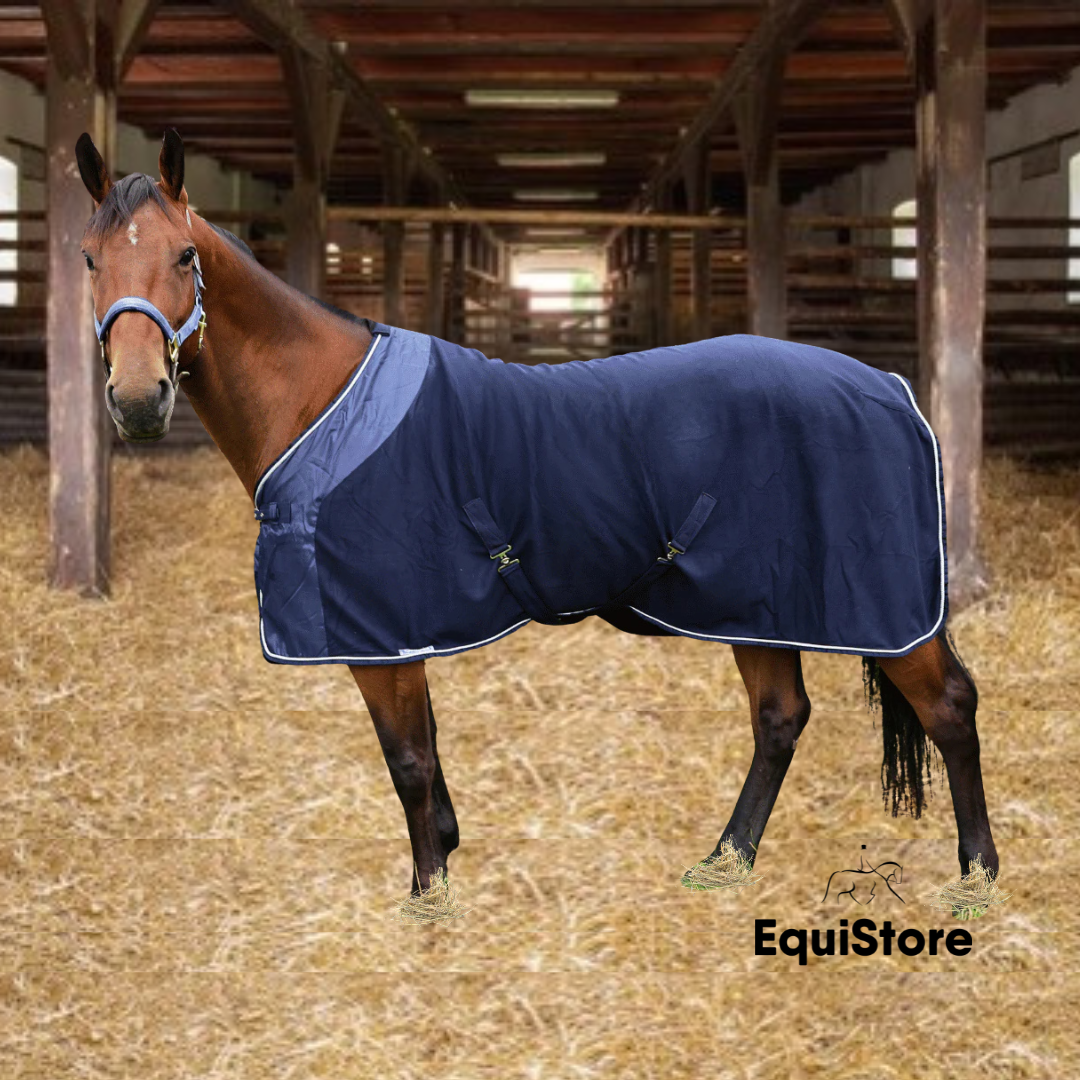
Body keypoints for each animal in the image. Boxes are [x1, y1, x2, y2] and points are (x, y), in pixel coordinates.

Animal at [73, 128, 1000, 918]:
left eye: (185, 255)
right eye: (88, 258)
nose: (139, 399)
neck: (322, 402)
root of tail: (890, 387)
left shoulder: (377, 636)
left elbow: (407, 761)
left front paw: (429, 899)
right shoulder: (403, 631)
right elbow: (428, 750)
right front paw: (447, 854)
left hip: (875, 608)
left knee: (949, 707)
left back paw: (977, 876)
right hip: (756, 601)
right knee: (780, 718)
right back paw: (726, 860)